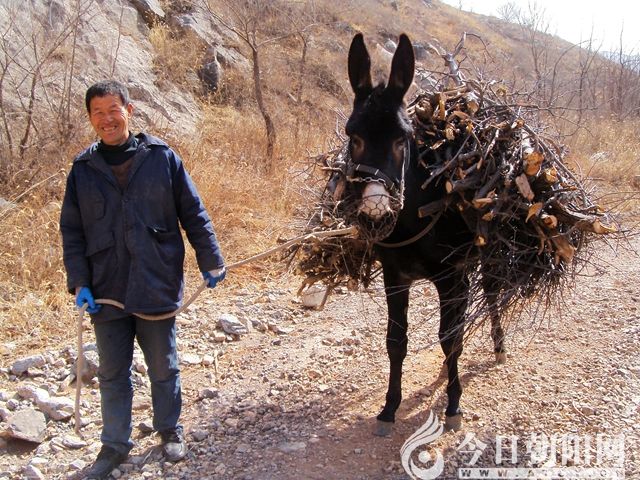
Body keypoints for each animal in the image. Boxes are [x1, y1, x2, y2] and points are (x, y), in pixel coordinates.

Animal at [343, 33, 505, 435]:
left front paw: (454, 406)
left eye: (403, 139)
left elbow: (450, 339)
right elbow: (395, 340)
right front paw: (389, 408)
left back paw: (498, 346)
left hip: (484, 257)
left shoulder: (451, 277)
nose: (375, 208)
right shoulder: (395, 276)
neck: (413, 221)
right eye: (353, 136)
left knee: (491, 294)